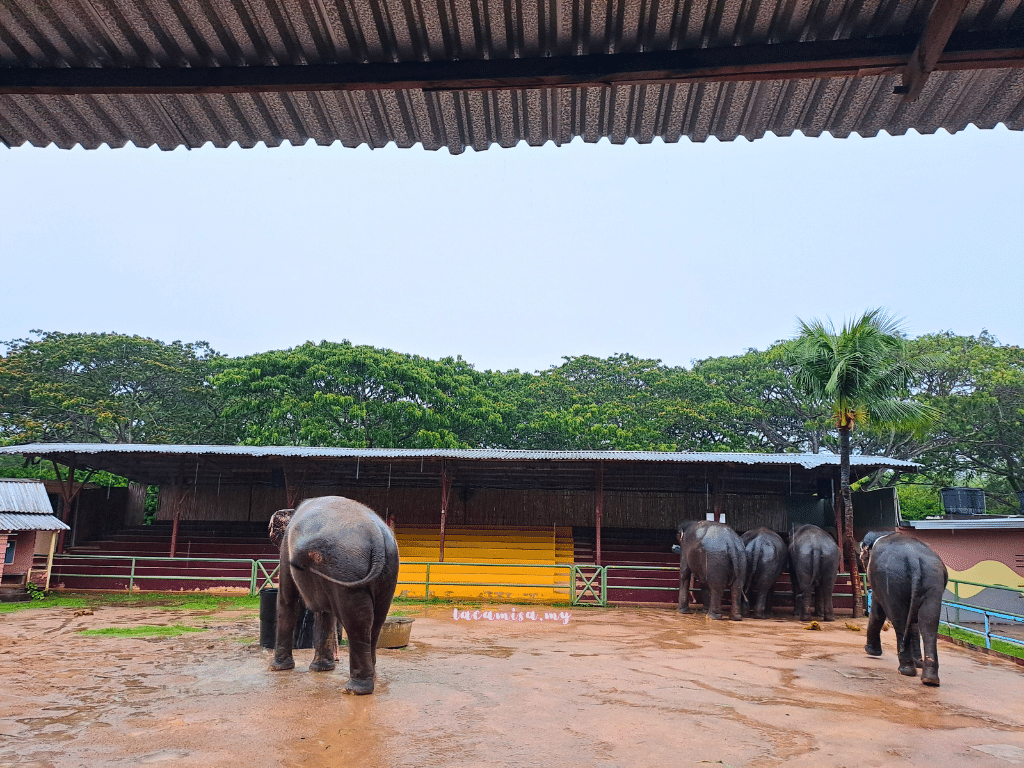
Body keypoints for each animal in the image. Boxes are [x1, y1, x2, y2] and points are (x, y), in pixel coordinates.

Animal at [268, 499, 399, 696]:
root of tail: (376, 535)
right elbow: (324, 612)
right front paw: (320, 669)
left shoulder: (285, 549)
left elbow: (286, 598)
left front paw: (276, 668)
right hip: (387, 570)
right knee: (376, 622)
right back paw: (371, 677)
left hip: (346, 567)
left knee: (356, 621)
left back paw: (354, 690)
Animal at [860, 532, 946, 688]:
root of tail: (914, 559)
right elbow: (915, 622)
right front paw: (919, 662)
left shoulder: (878, 579)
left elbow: (878, 610)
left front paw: (870, 651)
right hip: (933, 580)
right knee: (929, 623)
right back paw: (929, 679)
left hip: (892, 578)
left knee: (899, 620)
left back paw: (906, 670)